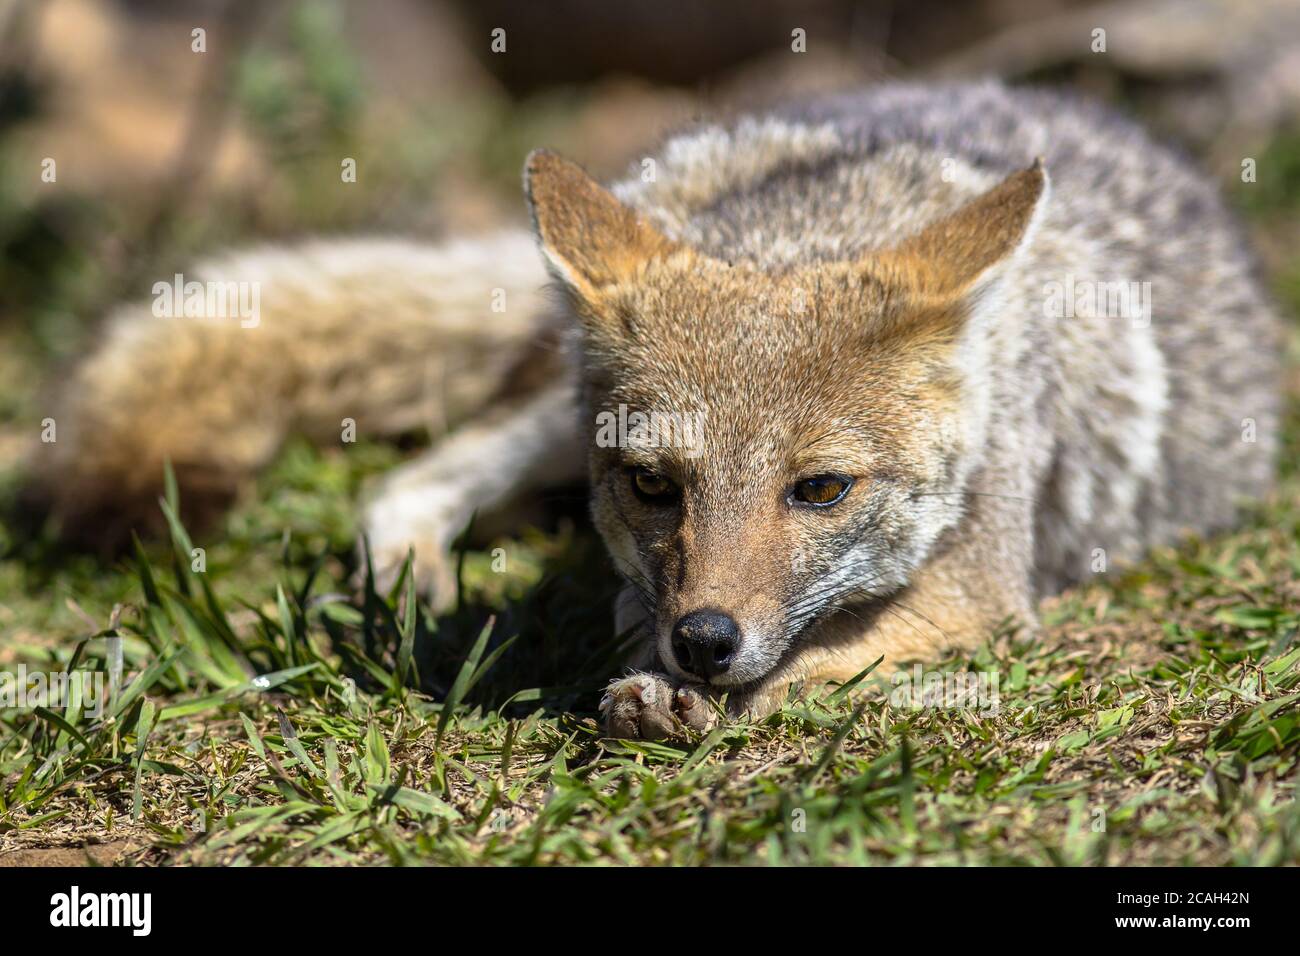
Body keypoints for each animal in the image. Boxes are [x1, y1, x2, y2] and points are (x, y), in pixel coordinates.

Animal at [25, 82, 1284, 738]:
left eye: (819, 488)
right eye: (652, 484)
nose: (705, 638)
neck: (814, 223)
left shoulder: (977, 595)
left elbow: (819, 657)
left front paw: (698, 695)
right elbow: (639, 609)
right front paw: (649, 672)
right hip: (546, 406)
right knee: (408, 479)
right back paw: (411, 593)